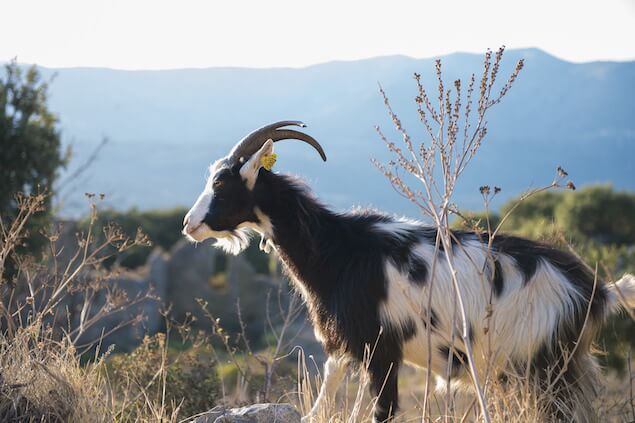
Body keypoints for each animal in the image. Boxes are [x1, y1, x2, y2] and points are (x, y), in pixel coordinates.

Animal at [183, 121, 635, 422]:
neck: (337, 249)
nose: (188, 224)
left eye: (221, 185)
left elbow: (383, 410)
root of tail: (595, 290)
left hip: (546, 365)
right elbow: (324, 400)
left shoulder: (381, 349)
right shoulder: (344, 347)